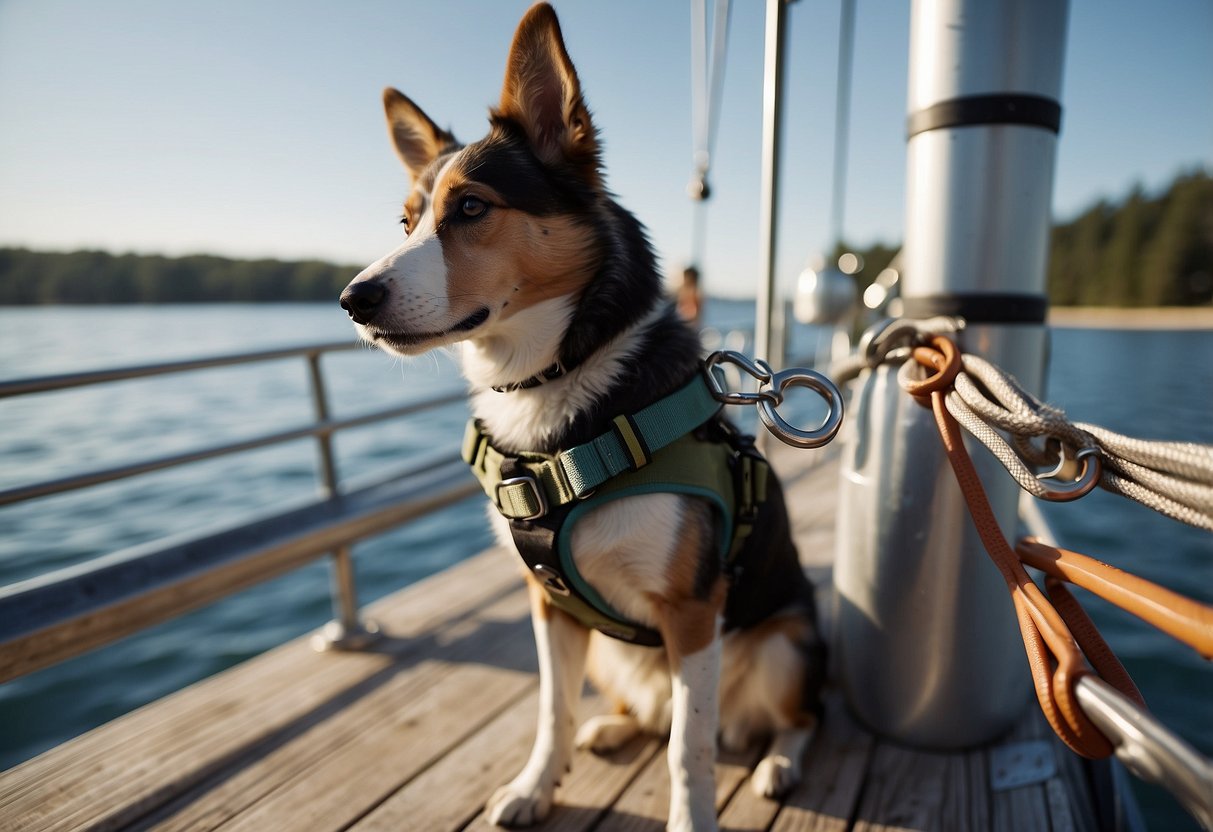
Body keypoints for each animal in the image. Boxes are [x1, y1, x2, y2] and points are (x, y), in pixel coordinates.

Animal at [346, 4, 829, 829]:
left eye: (470, 207)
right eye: (405, 222)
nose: (353, 299)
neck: (559, 389)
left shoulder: (693, 610)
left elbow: (688, 750)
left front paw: (691, 819)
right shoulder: (551, 605)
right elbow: (552, 709)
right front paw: (535, 787)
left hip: (786, 641)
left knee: (793, 717)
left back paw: (777, 763)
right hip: (615, 649)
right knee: (649, 713)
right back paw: (612, 728)